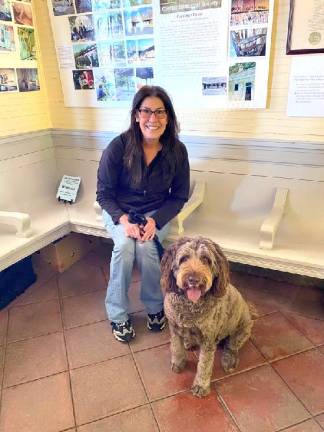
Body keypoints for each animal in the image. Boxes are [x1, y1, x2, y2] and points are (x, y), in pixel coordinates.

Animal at [161, 236, 254, 398]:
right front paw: (178, 363)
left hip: (241, 331)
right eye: (184, 258)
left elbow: (204, 364)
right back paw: (189, 342)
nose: (193, 279)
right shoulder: (174, 328)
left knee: (231, 347)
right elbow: (176, 348)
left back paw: (229, 360)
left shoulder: (208, 339)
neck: (190, 306)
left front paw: (200, 386)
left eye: (205, 259)